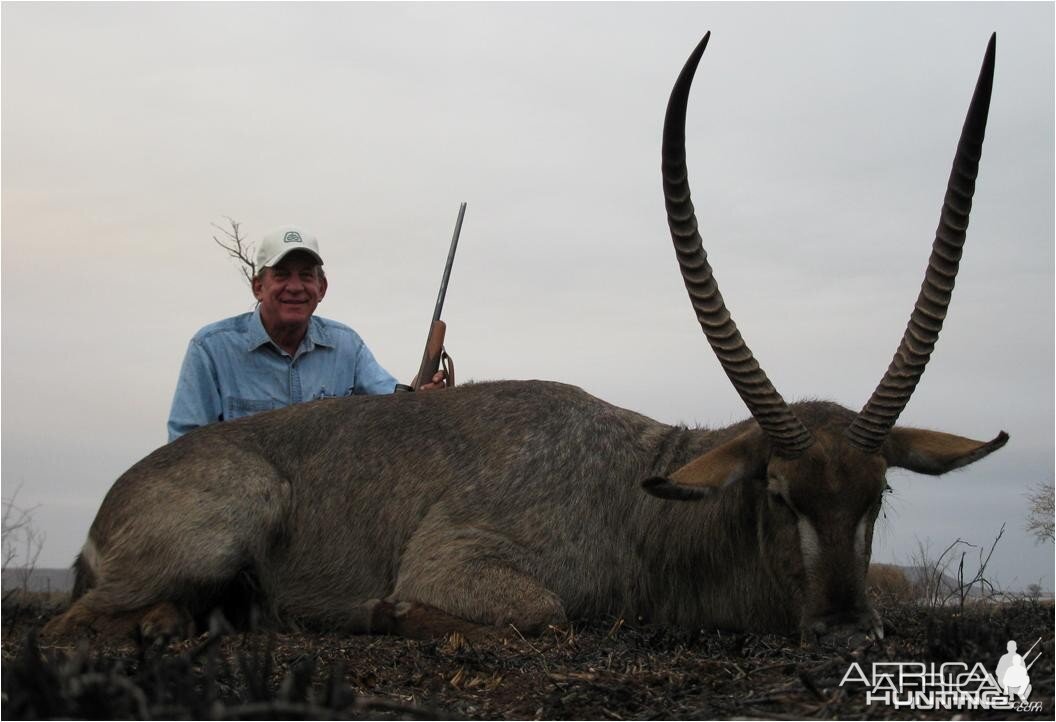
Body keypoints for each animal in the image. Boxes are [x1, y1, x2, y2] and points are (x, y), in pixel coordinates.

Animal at [43, 32, 1005, 641]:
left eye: (878, 494)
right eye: (777, 492)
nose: (846, 630)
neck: (638, 499)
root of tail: (115, 496)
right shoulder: (459, 560)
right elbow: (541, 613)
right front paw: (390, 615)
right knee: (74, 625)